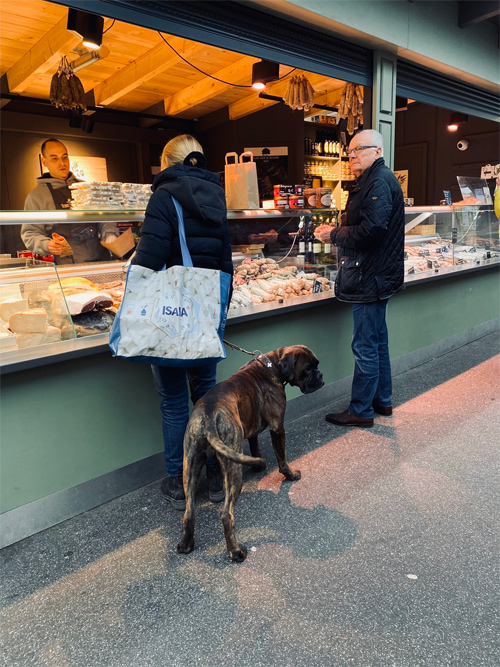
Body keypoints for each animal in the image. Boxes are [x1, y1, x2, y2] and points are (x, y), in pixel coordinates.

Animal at [178, 348, 326, 560]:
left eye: (317, 365)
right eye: (308, 369)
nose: (320, 375)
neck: (271, 367)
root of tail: (208, 415)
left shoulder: (251, 425)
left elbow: (255, 446)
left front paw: (259, 465)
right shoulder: (277, 428)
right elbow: (282, 458)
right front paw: (290, 475)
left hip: (190, 466)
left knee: (189, 513)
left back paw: (185, 544)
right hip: (233, 472)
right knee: (226, 515)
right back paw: (236, 552)